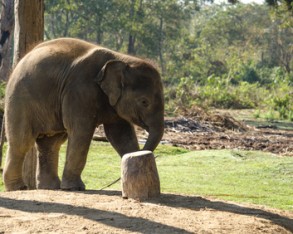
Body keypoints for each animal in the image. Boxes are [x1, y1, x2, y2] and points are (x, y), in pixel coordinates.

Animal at [2, 38, 163, 192]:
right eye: (144, 102)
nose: (142, 151)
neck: (122, 58)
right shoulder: (79, 91)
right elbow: (81, 131)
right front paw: (75, 188)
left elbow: (120, 134)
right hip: (19, 100)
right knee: (22, 142)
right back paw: (19, 188)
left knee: (51, 143)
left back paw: (50, 187)